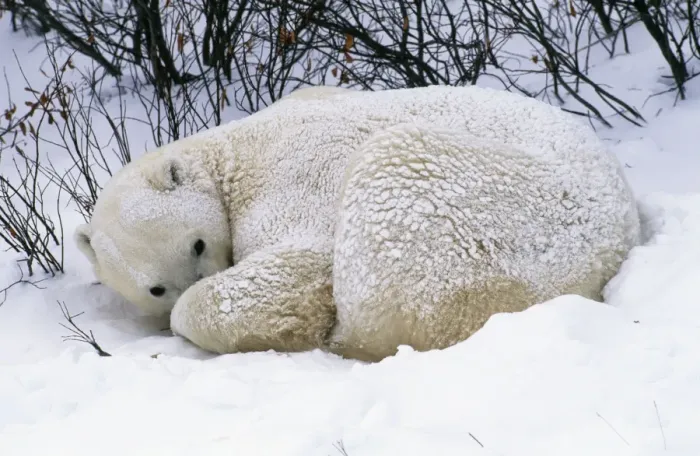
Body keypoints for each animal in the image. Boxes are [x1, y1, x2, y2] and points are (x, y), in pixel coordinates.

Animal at [74, 85, 641, 362]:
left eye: (196, 245)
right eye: (154, 287)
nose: (210, 270)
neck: (232, 153)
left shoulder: (293, 176)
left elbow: (298, 267)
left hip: (503, 219)